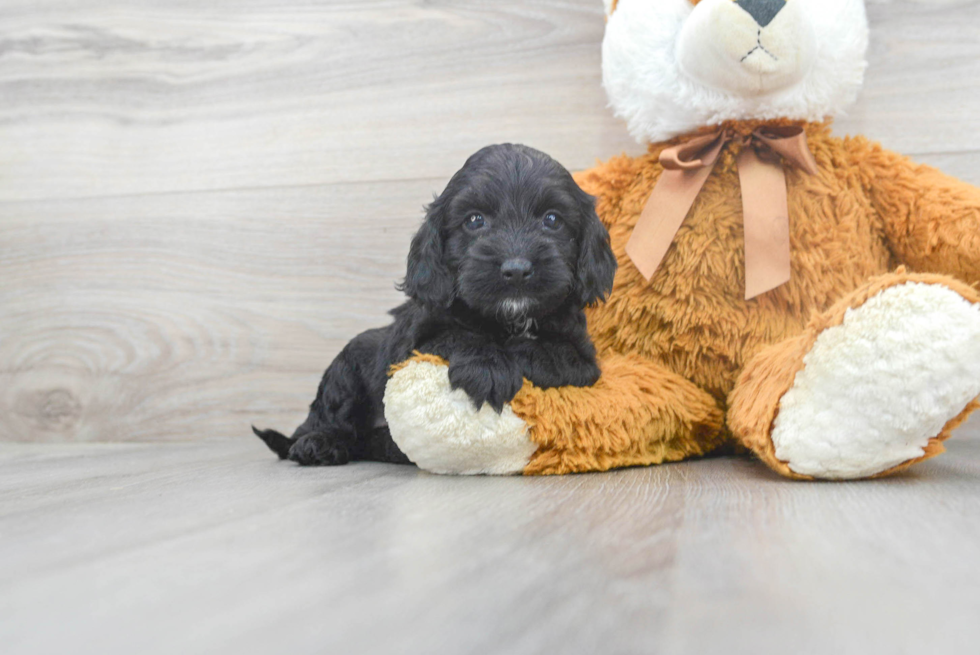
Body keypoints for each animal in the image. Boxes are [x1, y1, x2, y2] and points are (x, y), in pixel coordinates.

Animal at [256, 146, 616, 468]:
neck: (509, 317)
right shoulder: (414, 342)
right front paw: (487, 368)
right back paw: (318, 445)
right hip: (345, 371)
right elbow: (457, 335)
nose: (516, 269)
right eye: (475, 220)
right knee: (324, 421)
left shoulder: (584, 358)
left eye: (552, 219)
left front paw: (513, 352)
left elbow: (553, 354)